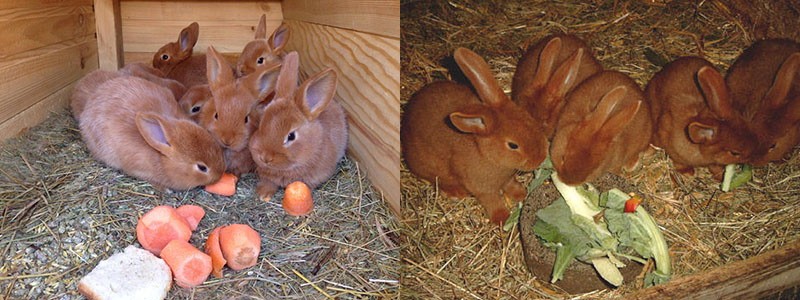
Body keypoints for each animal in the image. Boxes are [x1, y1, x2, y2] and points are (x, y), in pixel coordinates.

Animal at [400, 47, 552, 225]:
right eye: (513, 145)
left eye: (529, 119)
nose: (541, 158)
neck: (486, 153)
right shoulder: (482, 188)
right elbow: (492, 200)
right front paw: (502, 218)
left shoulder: (507, 178)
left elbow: (510, 184)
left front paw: (521, 194)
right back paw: (456, 192)